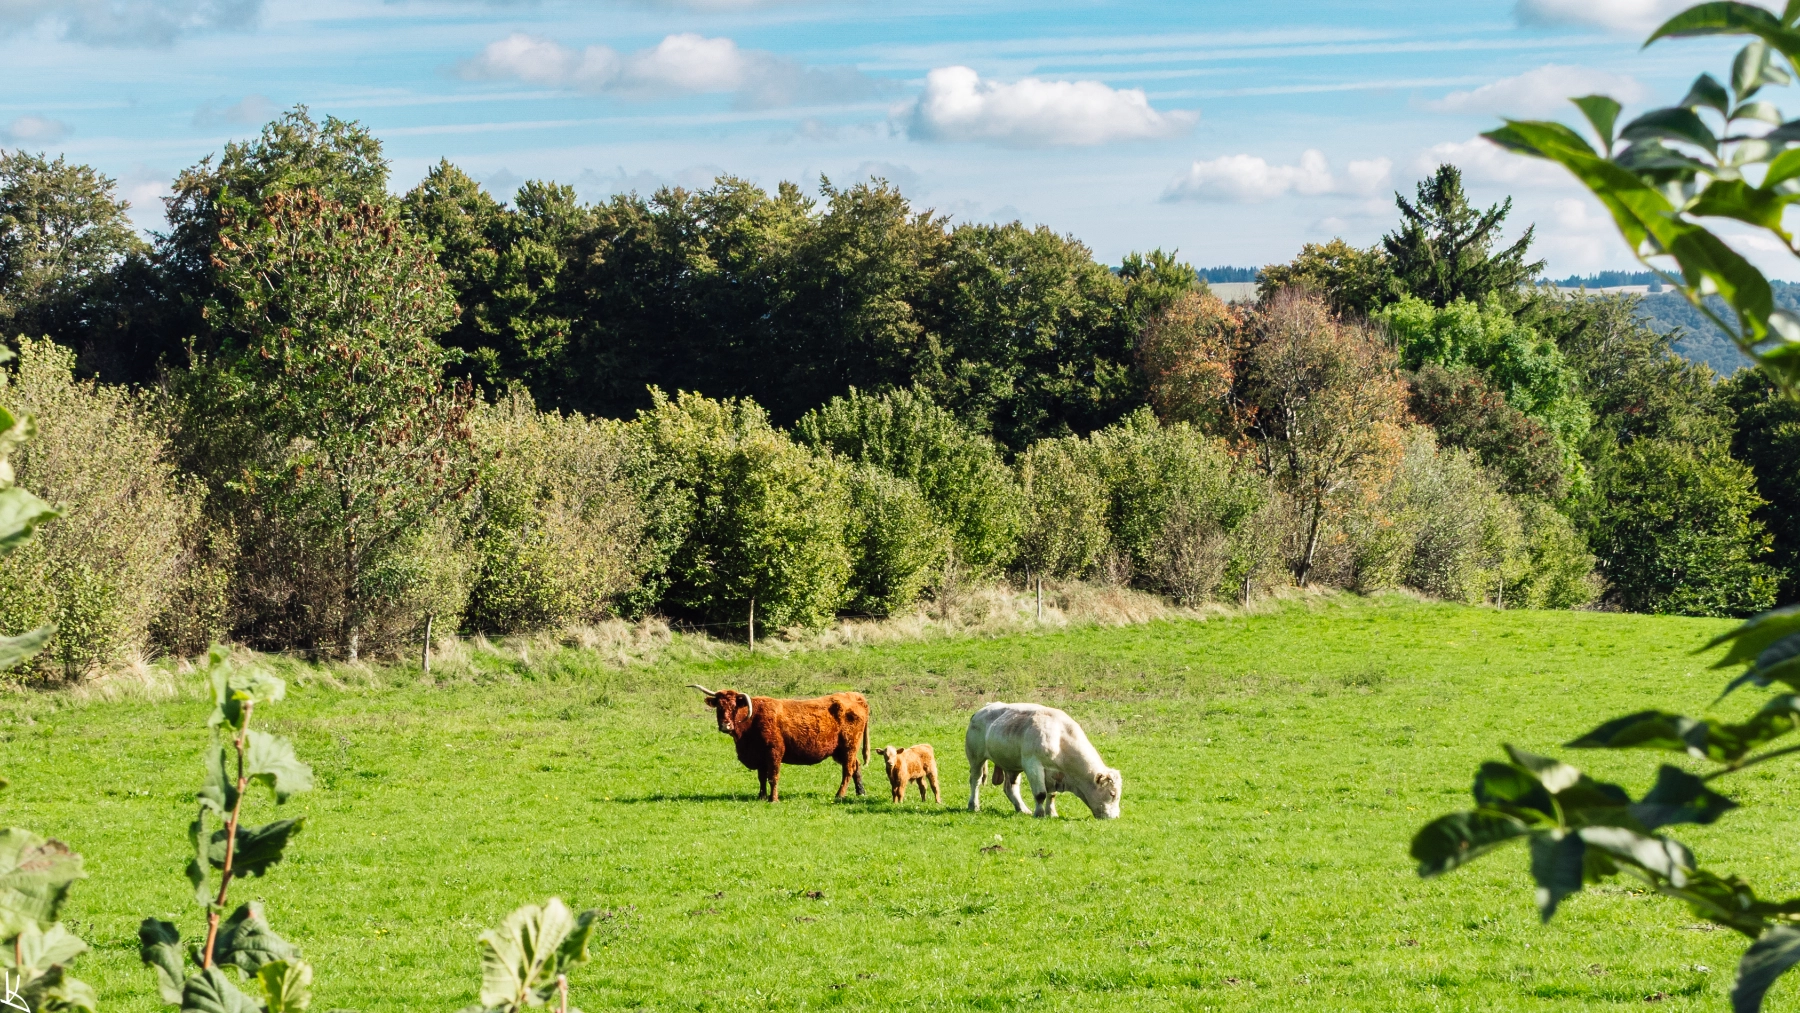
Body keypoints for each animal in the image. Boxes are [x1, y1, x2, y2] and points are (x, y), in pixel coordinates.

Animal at [688, 685, 870, 802]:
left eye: (734, 707)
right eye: (719, 707)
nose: (726, 725)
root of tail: (855, 696)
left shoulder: (774, 752)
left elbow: (773, 777)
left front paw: (773, 799)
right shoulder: (760, 756)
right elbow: (761, 778)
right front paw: (761, 797)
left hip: (849, 746)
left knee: (848, 770)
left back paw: (839, 795)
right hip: (840, 751)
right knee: (856, 765)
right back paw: (860, 792)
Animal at [964, 702, 1122, 819]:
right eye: (1112, 794)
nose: (1115, 817)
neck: (1060, 739)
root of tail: (985, 708)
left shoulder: (1054, 774)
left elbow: (1051, 795)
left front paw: (1051, 813)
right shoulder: (1033, 766)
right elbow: (1040, 794)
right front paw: (1039, 814)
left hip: (1012, 766)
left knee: (1010, 788)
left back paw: (1022, 809)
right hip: (976, 758)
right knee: (975, 780)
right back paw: (974, 805)